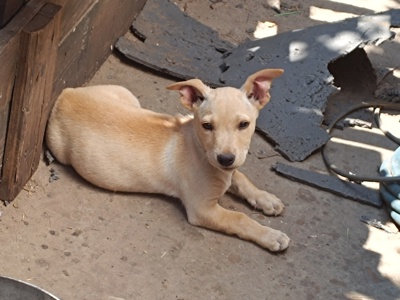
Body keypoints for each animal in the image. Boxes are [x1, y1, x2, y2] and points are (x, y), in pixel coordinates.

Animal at [47, 69, 290, 252]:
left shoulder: (228, 171)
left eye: (244, 125)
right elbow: (239, 218)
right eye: (207, 126)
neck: (199, 148)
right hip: (60, 148)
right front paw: (271, 235)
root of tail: (66, 93)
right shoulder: (202, 209)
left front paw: (266, 199)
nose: (225, 159)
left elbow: (241, 178)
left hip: (128, 96)